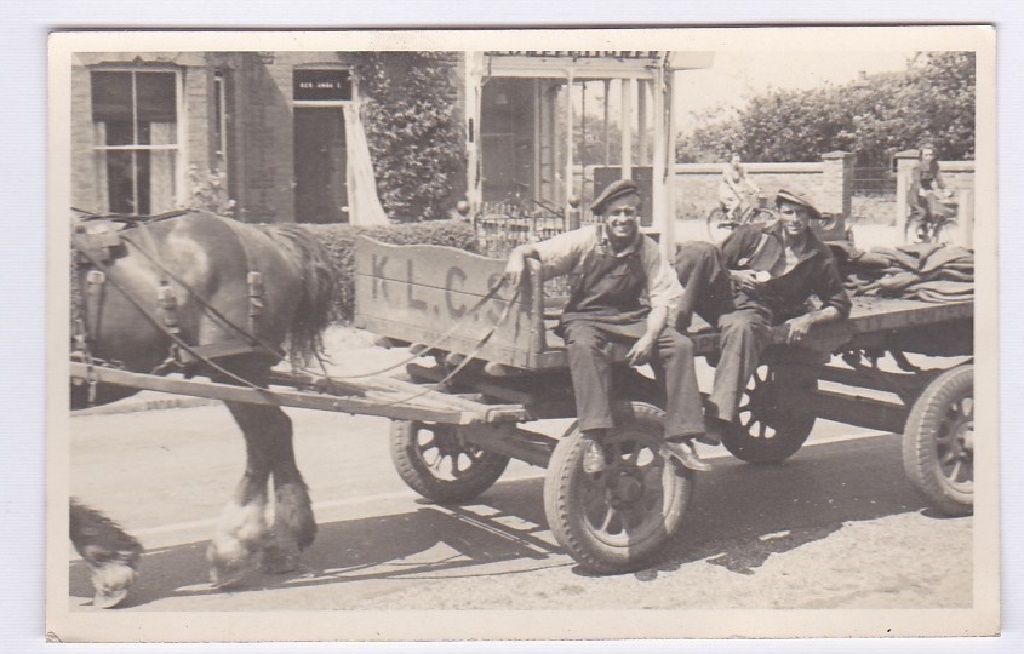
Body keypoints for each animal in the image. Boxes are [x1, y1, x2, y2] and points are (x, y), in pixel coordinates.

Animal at [70, 209, 333, 609]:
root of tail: (264, 235)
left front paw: (109, 565)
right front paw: (110, 558)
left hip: (235, 366)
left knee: (266, 435)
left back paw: (237, 547)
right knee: (274, 434)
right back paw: (279, 543)